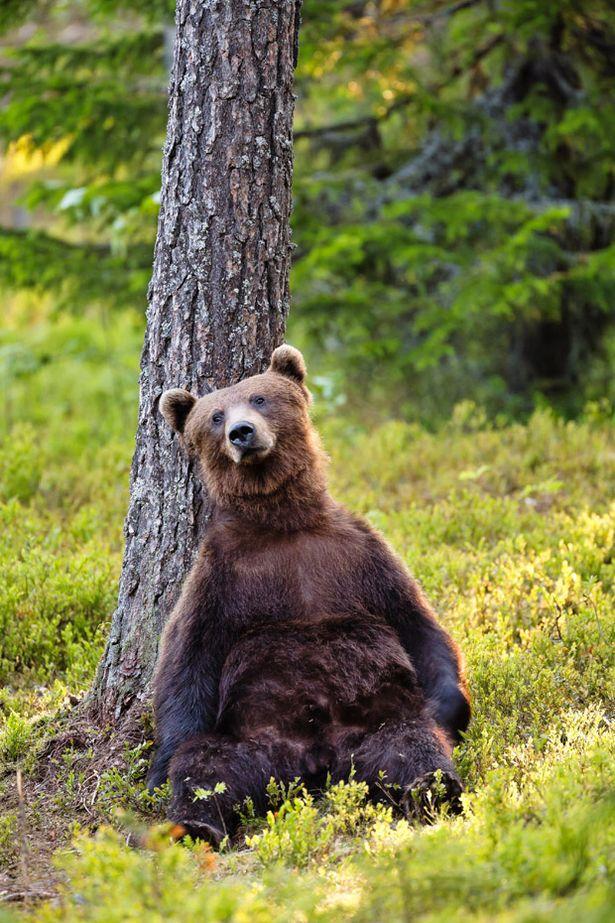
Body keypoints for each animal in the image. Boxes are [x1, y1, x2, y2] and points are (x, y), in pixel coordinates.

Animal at [149, 345, 470, 844]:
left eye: (260, 398)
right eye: (215, 416)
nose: (242, 433)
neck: (283, 522)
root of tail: (316, 761)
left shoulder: (359, 554)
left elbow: (417, 623)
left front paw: (451, 707)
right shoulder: (221, 576)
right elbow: (186, 659)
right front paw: (159, 765)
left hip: (374, 726)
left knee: (409, 742)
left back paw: (433, 787)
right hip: (252, 737)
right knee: (208, 764)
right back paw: (196, 822)